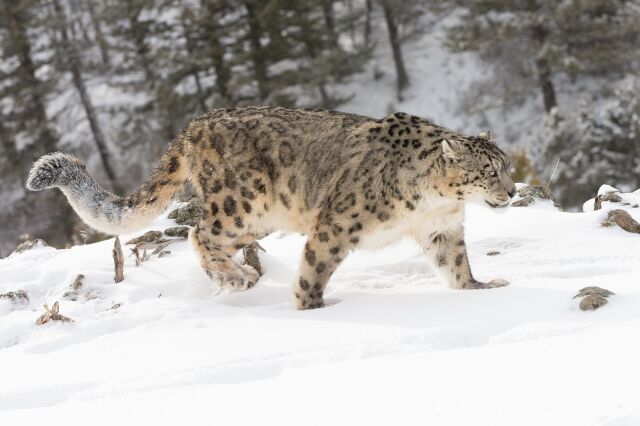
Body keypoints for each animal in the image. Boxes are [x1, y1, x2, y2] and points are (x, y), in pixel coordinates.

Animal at [26, 105, 516, 308]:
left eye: (508, 166)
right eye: (490, 172)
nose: (511, 192)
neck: (435, 200)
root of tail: (193, 125)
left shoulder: (441, 228)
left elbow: (455, 262)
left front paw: (478, 288)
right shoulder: (336, 223)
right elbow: (315, 266)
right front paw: (310, 306)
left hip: (255, 218)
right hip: (242, 204)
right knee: (199, 232)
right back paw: (238, 278)